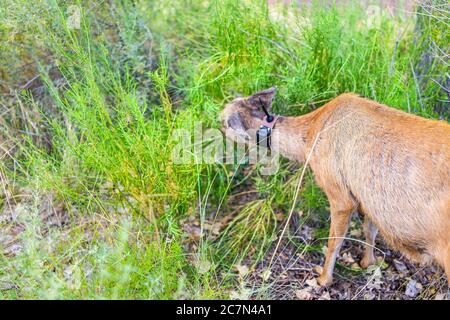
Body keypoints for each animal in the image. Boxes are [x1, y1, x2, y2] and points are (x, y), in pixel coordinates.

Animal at [221, 87, 450, 284]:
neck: (309, 139)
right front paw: (367, 263)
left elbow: (334, 241)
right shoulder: (366, 196)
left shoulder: (338, 190)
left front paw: (323, 279)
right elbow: (370, 230)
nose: (215, 120)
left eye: (224, 121)